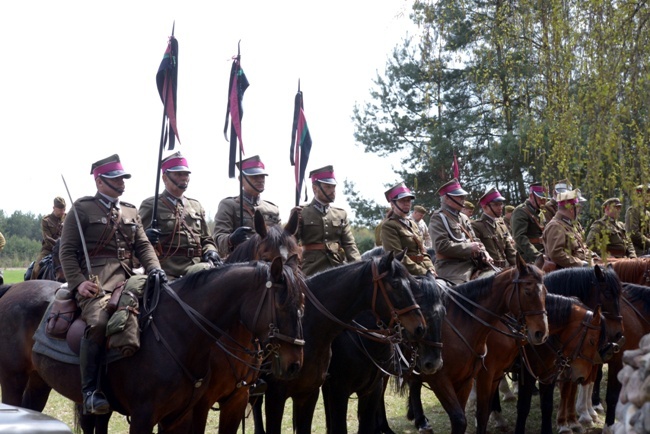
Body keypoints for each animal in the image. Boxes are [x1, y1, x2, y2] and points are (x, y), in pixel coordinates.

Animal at [1, 258, 306, 434]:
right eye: (281, 303)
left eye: (303, 304)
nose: (295, 365)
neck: (180, 332)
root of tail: (12, 289)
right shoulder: (144, 417)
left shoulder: (179, 417)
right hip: (13, 381)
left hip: (39, 381)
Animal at [404, 254, 548, 434]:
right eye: (528, 291)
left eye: (546, 292)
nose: (541, 333)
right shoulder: (451, 377)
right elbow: (470, 414)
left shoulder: (491, 373)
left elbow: (483, 412)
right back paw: (421, 421)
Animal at [474, 294, 604, 434]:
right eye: (592, 341)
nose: (582, 376)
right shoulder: (527, 375)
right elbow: (523, 407)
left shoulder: (548, 374)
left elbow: (547, 405)